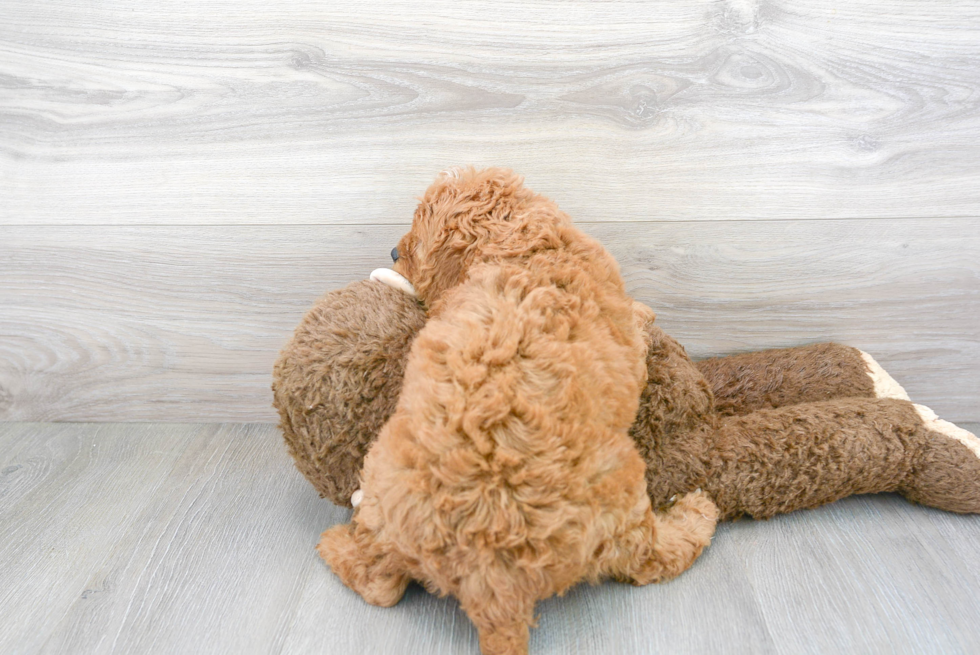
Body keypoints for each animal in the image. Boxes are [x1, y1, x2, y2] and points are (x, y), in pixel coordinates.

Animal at [318, 169, 716, 655]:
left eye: (418, 228)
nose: (394, 252)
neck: (519, 246)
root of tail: (491, 578)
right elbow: (636, 327)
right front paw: (644, 311)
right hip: (623, 498)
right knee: (654, 557)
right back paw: (697, 510)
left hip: (386, 482)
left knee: (380, 583)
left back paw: (337, 542)